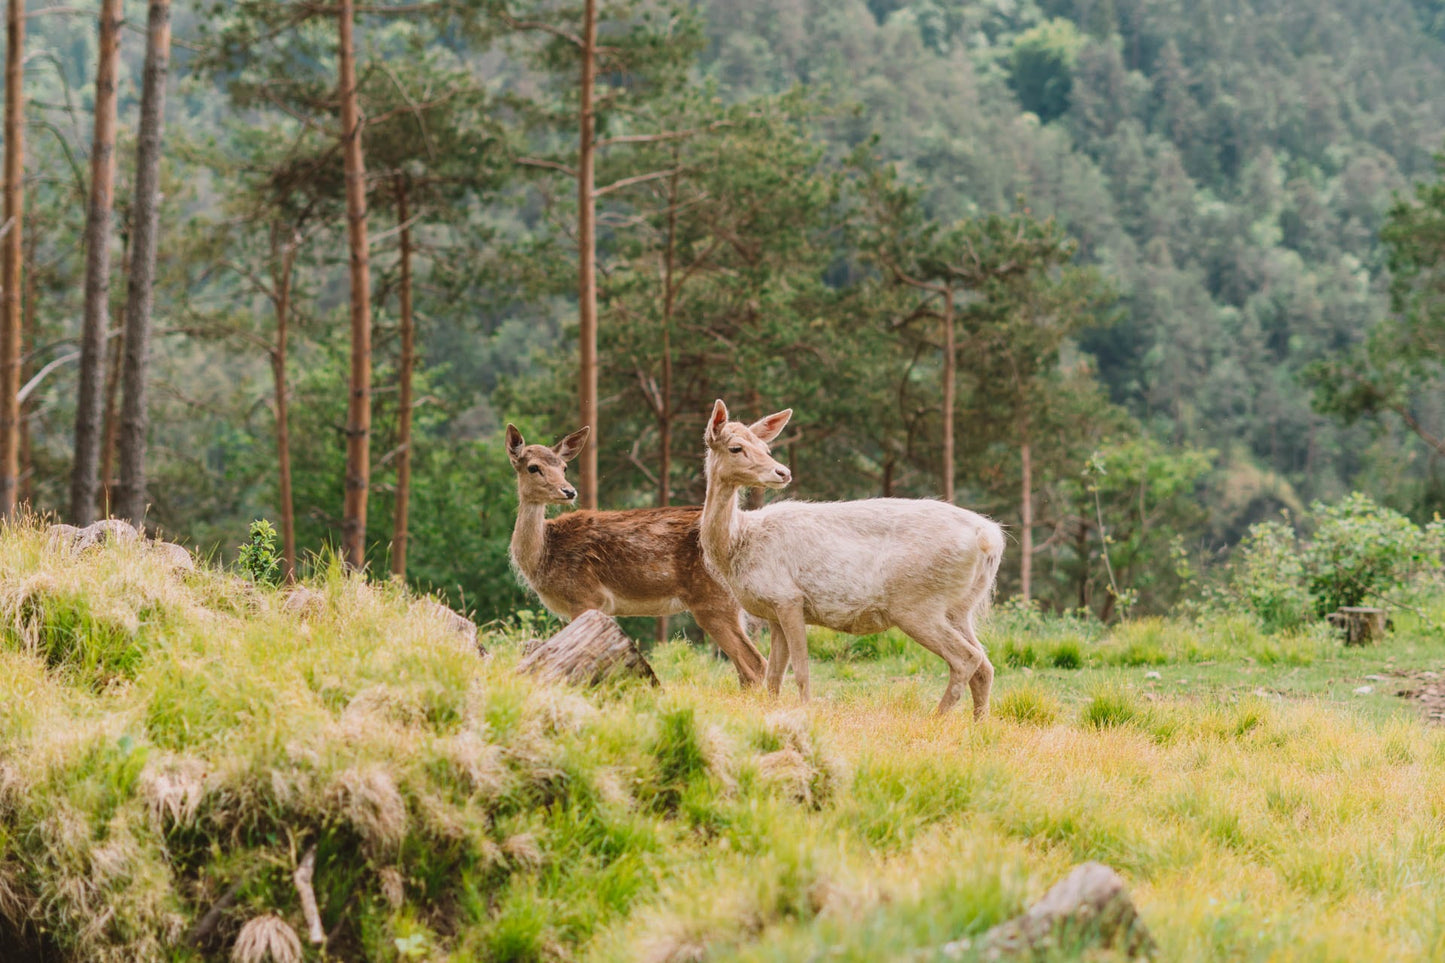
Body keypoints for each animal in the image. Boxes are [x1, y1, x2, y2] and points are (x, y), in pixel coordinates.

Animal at [505, 425, 768, 685]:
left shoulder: (585, 595)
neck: (543, 557)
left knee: (755, 664)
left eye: (564, 467)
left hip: (714, 600)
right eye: (533, 467)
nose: (568, 491)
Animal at [699, 396, 1005, 711]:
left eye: (765, 448)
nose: (782, 472)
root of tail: (991, 538)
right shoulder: (773, 612)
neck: (738, 543)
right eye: (737, 448)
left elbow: (801, 671)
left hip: (917, 603)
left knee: (966, 658)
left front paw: (807, 709)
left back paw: (937, 716)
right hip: (960, 607)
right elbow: (774, 679)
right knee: (984, 665)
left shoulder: (788, 597)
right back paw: (977, 720)